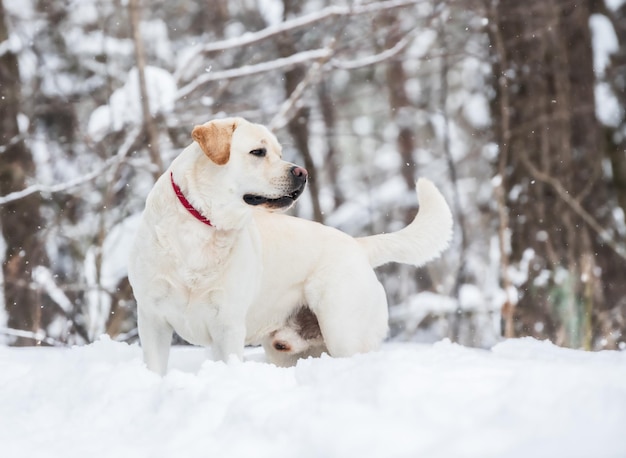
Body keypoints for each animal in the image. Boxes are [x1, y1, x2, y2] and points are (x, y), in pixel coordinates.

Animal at [127, 116, 450, 374]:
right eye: (258, 152)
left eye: (279, 153)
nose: (302, 172)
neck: (203, 227)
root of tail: (358, 245)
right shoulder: (152, 319)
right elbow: (155, 368)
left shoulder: (227, 325)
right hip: (289, 351)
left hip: (345, 333)